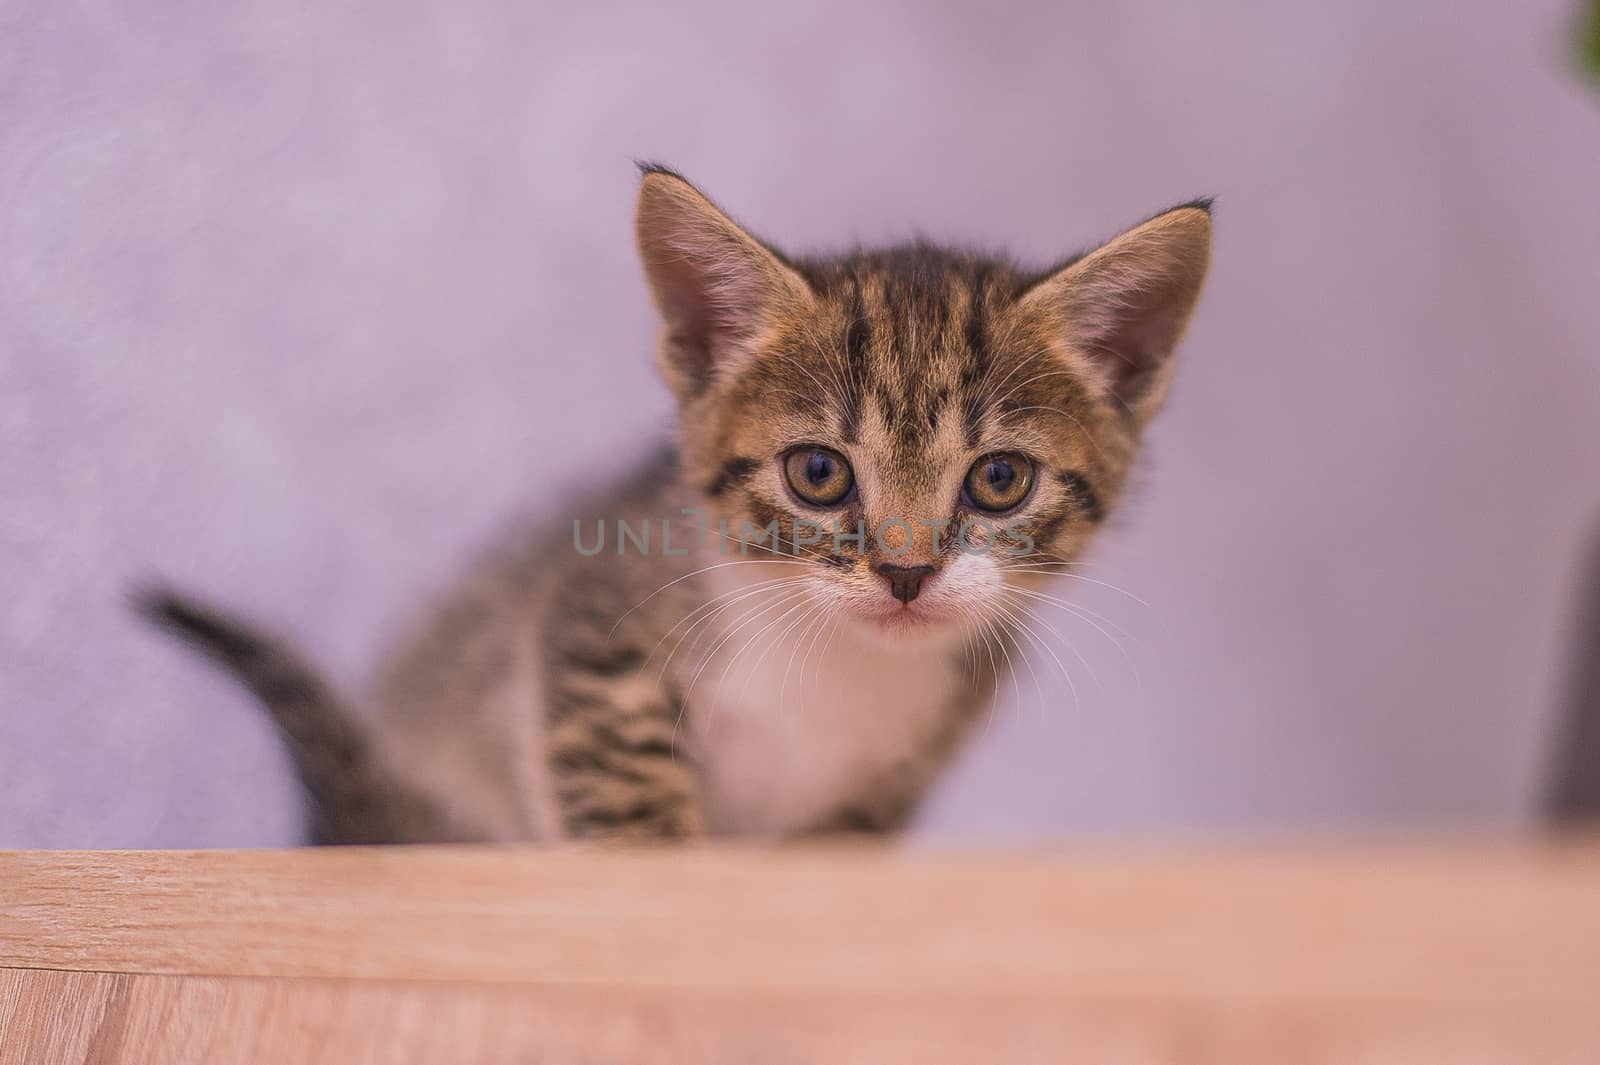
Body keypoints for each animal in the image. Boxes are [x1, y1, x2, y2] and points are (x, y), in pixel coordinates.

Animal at [140, 166, 1209, 844]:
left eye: (999, 480)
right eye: (817, 473)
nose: (905, 572)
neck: (838, 665)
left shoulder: (906, 765)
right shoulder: (597, 609)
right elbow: (621, 766)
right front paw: (650, 862)